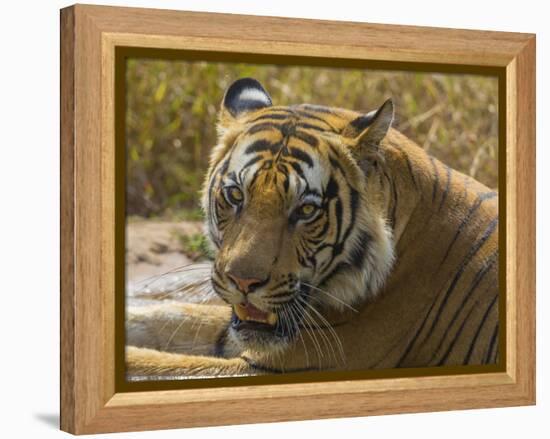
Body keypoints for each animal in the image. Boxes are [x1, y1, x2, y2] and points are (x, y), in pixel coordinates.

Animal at [127, 76, 502, 378]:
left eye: (305, 210)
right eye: (235, 195)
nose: (243, 282)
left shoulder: (286, 363)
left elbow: (158, 365)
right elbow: (172, 316)